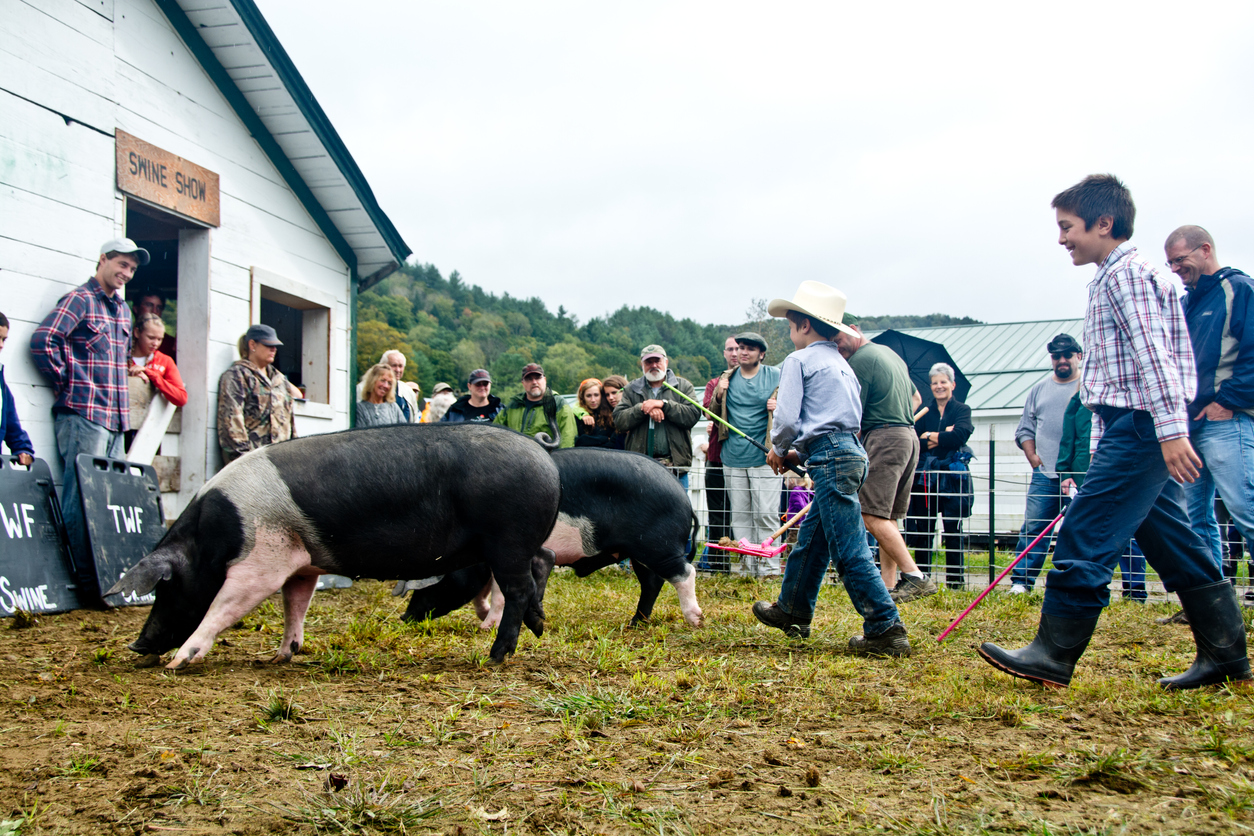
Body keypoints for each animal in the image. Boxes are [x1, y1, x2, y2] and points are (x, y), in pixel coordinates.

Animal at [107, 426, 559, 666]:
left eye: (164, 587)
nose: (137, 644)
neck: (215, 533)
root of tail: (544, 458)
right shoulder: (302, 563)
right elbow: (295, 605)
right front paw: (281, 656)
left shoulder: (262, 559)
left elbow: (224, 605)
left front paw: (180, 661)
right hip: (518, 544)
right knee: (542, 563)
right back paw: (539, 628)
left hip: (506, 539)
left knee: (518, 588)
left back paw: (496, 656)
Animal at [398, 448, 702, 631]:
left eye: (438, 582)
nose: (404, 617)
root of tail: (684, 497)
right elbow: (484, 591)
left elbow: (498, 592)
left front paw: (487, 627)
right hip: (639, 552)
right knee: (652, 582)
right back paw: (635, 623)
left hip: (657, 545)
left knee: (685, 573)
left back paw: (695, 620)